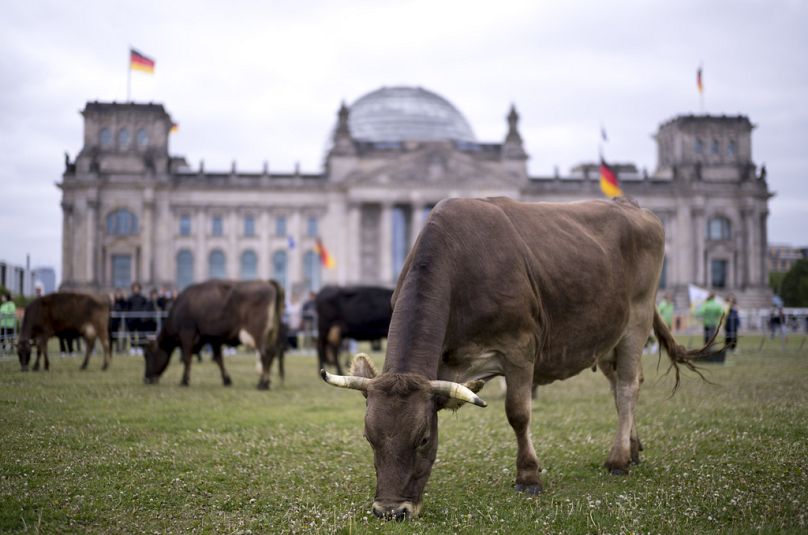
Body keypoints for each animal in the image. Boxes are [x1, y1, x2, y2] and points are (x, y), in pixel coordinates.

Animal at [144, 280, 286, 390]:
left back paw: (263, 384)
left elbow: (187, 358)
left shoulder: (187, 333)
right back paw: (265, 382)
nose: (146, 379)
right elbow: (218, 359)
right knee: (272, 353)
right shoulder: (214, 339)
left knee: (265, 354)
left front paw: (184, 380)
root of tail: (268, 282)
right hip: (271, 332)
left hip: (258, 332)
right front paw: (226, 380)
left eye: (148, 355)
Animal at [324, 197, 720, 520]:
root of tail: (634, 206)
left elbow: (518, 413)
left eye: (422, 438)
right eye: (369, 437)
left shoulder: (519, 348)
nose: (391, 511)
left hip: (636, 322)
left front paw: (528, 475)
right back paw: (634, 448)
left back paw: (618, 459)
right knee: (624, 386)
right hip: (608, 335)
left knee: (626, 388)